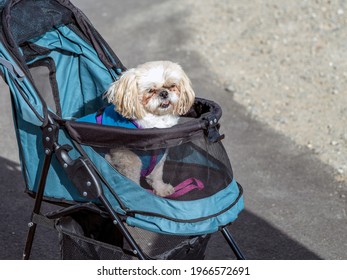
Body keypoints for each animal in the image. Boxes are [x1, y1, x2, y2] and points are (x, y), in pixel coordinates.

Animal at [104, 61, 196, 197]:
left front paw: (161, 189)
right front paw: (139, 194)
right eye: (150, 90)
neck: (156, 120)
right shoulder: (130, 161)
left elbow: (156, 176)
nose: (164, 93)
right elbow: (132, 181)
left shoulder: (159, 157)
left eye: (172, 86)